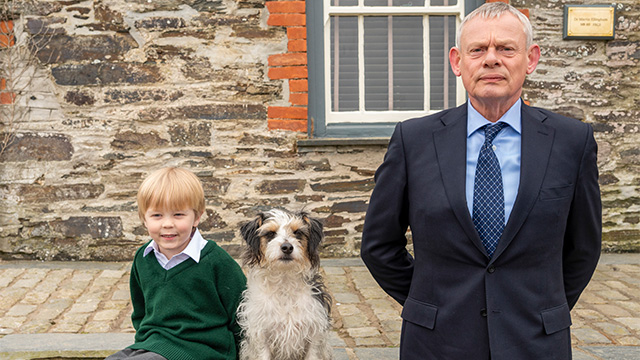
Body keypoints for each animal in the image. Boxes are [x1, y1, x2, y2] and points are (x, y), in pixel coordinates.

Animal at [236, 208, 336, 360]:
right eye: (270, 233)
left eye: (297, 232)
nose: (287, 247)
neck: (284, 279)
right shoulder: (262, 334)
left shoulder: (314, 333)